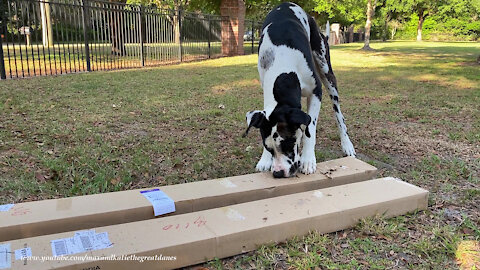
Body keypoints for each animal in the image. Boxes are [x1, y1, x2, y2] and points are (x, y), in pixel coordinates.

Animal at [246, 2, 354, 179]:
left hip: (327, 73)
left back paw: (347, 144)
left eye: (288, 144)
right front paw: (265, 159)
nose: (278, 173)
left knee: (339, 115)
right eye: (269, 148)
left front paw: (308, 160)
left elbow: (310, 130)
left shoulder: (316, 93)